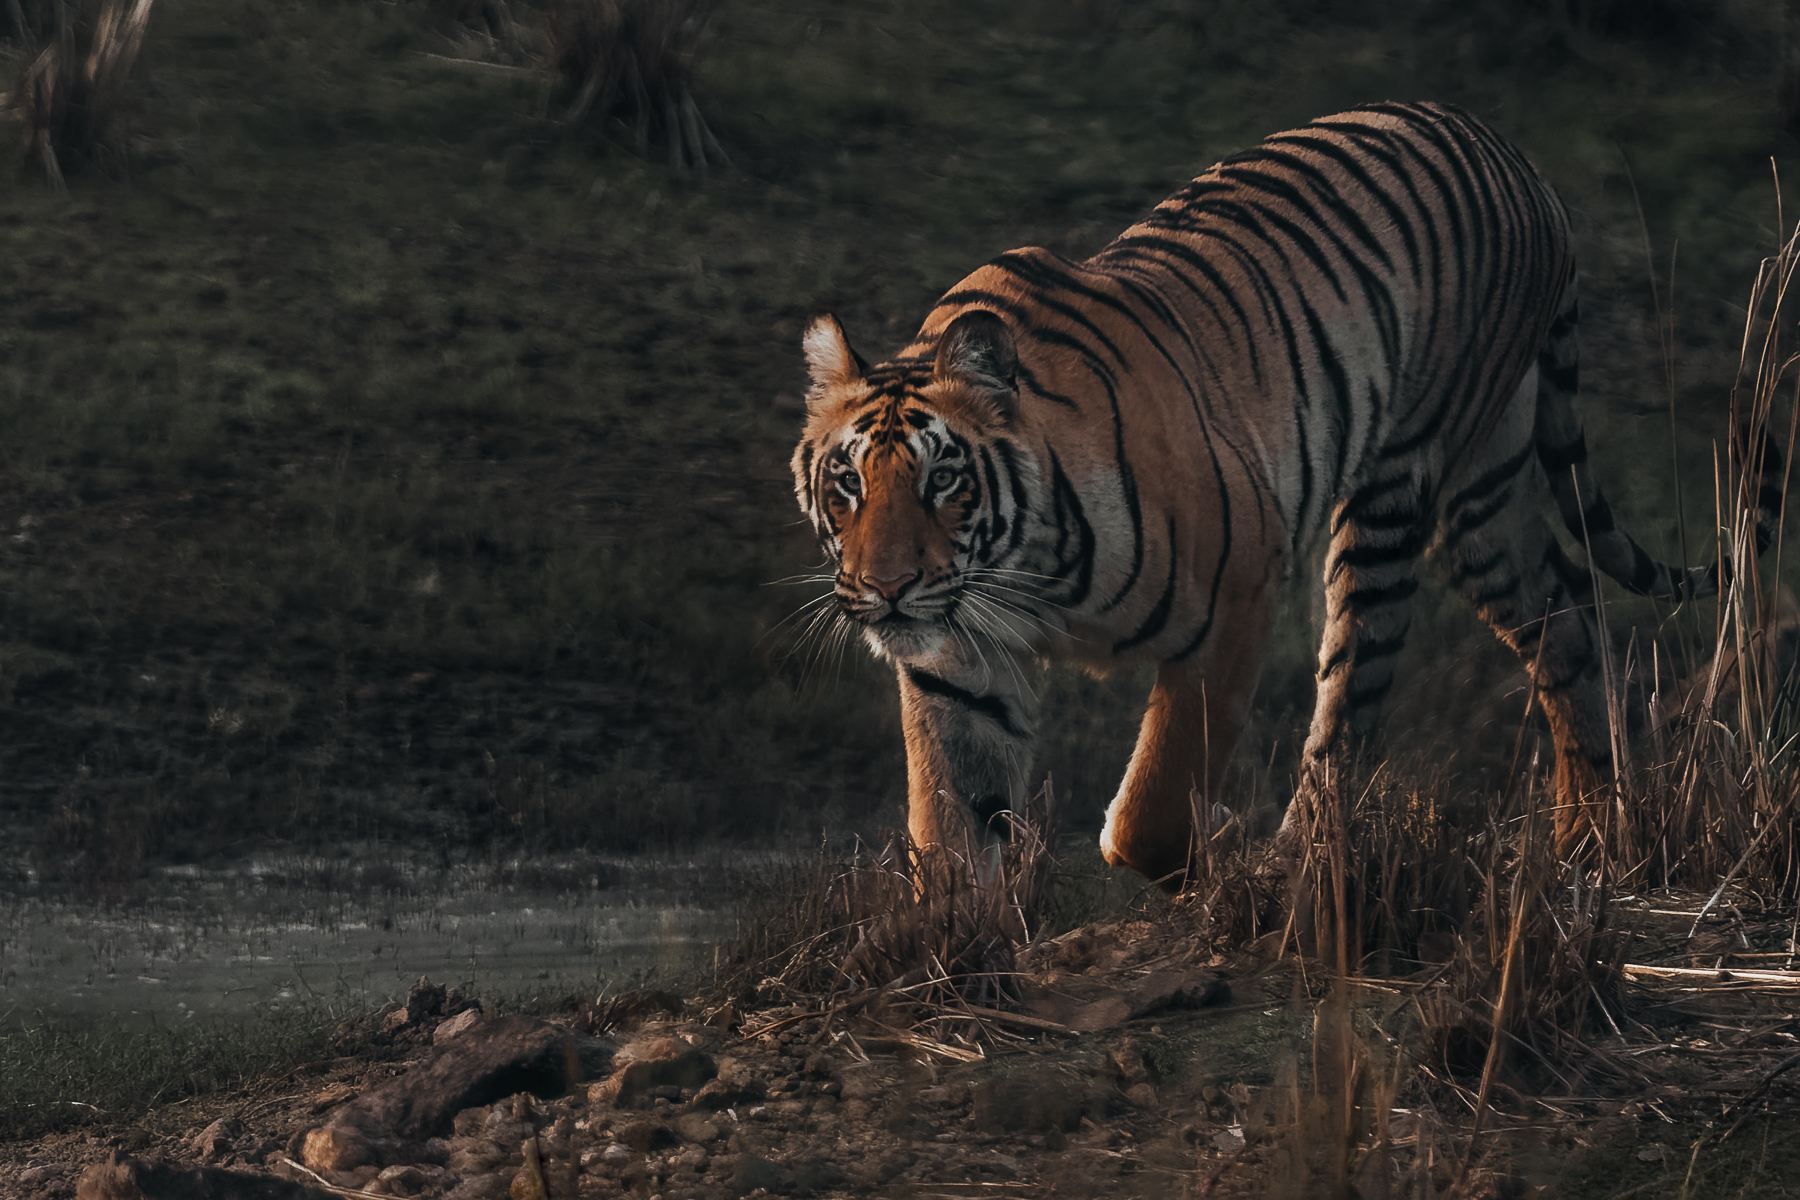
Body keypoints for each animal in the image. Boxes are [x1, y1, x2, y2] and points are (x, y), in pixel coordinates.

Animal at [789, 100, 1785, 886]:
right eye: (847, 485)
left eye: (943, 479)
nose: (886, 590)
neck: (1017, 568)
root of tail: (1517, 156)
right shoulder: (955, 664)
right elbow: (952, 826)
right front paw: (955, 958)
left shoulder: (1235, 591)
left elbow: (1155, 802)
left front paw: (1203, 856)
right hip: (1487, 500)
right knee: (1566, 615)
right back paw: (1588, 830)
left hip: (1396, 492)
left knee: (1352, 698)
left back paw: (1298, 858)